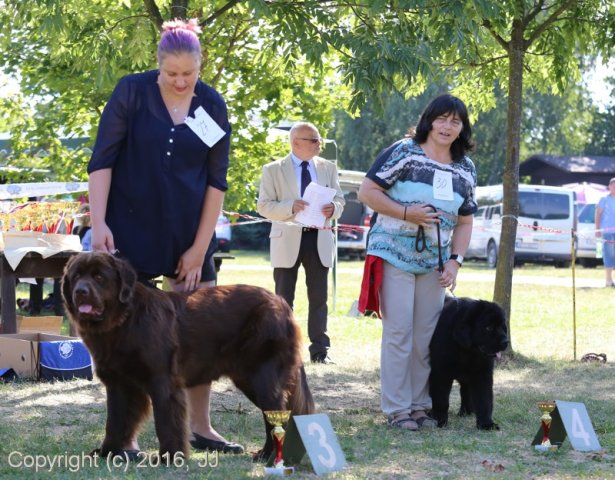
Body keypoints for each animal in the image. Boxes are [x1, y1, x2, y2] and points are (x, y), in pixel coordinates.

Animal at [61, 251, 312, 458]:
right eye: (76, 276)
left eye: (99, 277)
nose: (80, 292)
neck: (125, 320)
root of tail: (280, 302)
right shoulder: (118, 383)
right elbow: (115, 421)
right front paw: (108, 453)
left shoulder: (162, 380)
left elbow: (166, 422)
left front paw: (171, 457)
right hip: (249, 379)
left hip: (262, 376)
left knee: (276, 413)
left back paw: (268, 455)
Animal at [428, 298, 510, 430]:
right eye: (488, 328)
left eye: (502, 326)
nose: (505, 342)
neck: (467, 351)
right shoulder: (440, 374)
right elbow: (441, 399)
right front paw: (440, 420)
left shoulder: (482, 373)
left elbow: (484, 399)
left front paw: (486, 424)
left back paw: (466, 412)